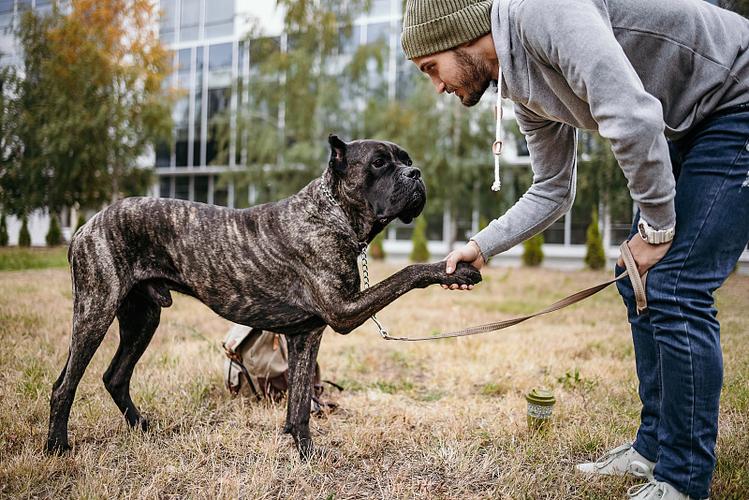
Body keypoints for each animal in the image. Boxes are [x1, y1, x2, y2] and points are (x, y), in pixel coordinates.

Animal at [46, 135, 482, 458]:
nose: (416, 172)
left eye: (405, 159)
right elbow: (407, 272)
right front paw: (455, 268)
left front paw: (306, 454)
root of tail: (85, 225)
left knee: (116, 376)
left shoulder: (306, 335)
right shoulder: (344, 312)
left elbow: (300, 402)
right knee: (65, 385)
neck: (333, 213)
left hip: (142, 318)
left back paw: (143, 428)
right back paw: (57, 447)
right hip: (96, 310)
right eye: (378, 163)